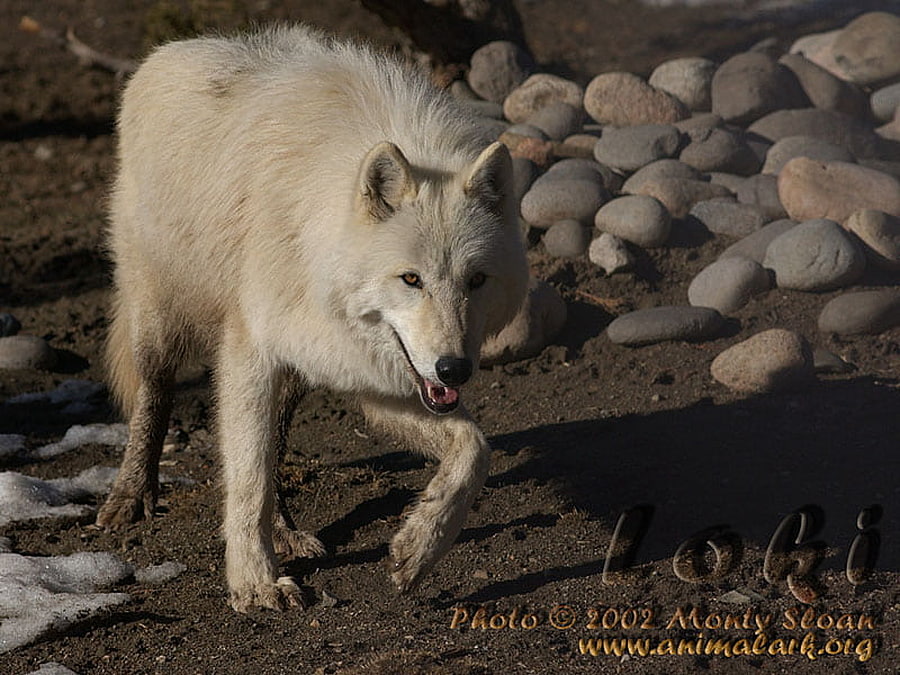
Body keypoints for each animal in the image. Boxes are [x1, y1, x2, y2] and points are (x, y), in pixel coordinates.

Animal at [96, 25, 528, 612]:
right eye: (411, 279)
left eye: (476, 281)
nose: (453, 369)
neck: (318, 237)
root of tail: (170, 50)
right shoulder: (250, 353)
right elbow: (247, 477)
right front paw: (255, 583)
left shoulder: (367, 373)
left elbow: (474, 448)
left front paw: (420, 547)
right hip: (158, 316)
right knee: (155, 395)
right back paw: (132, 494)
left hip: (299, 369)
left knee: (275, 442)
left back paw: (284, 528)